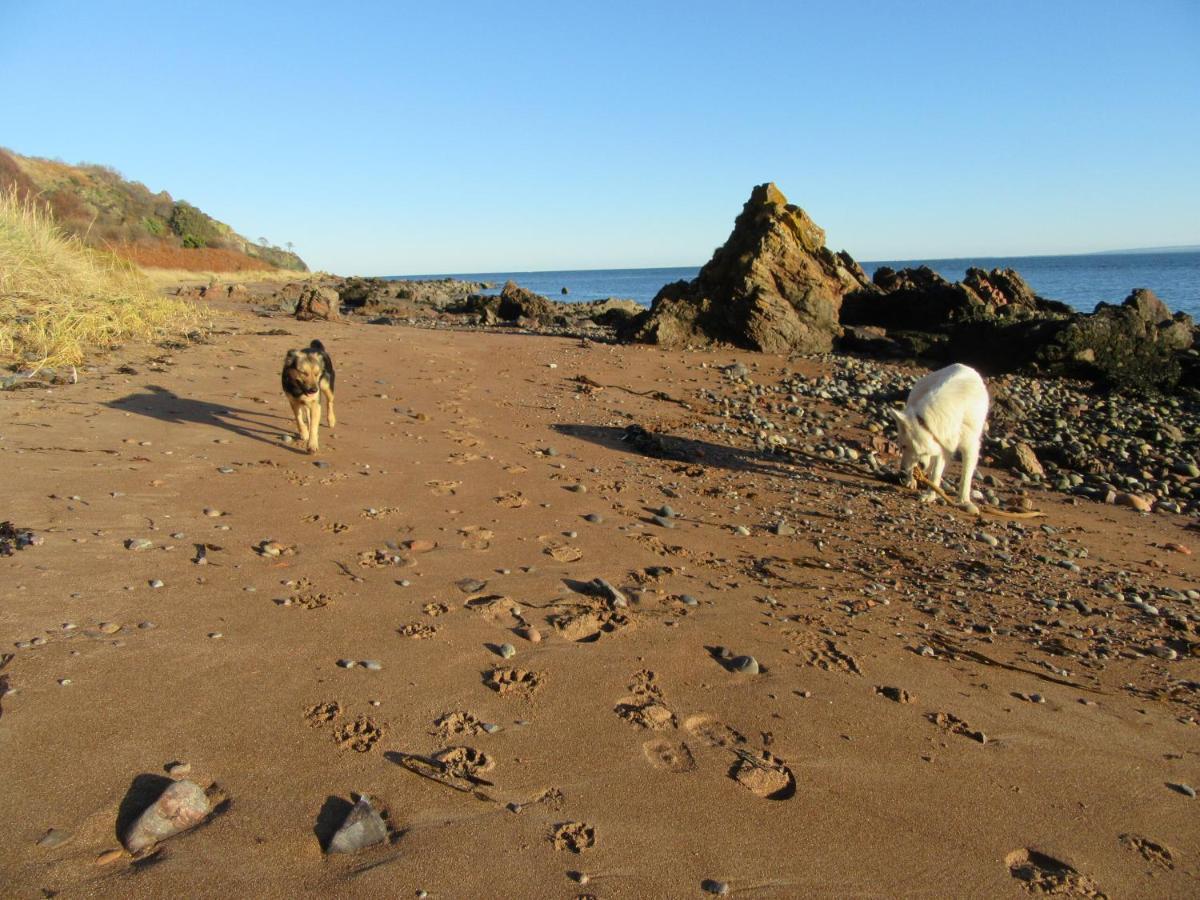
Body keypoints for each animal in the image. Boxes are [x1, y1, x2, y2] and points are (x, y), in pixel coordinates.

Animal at [888, 362, 988, 513]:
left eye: (904, 446)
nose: (902, 471)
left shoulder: (969, 447)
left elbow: (965, 477)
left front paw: (964, 501)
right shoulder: (941, 446)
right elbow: (935, 473)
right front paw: (930, 495)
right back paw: (911, 481)